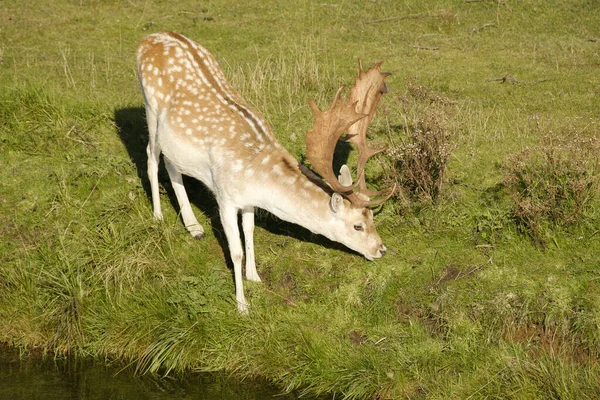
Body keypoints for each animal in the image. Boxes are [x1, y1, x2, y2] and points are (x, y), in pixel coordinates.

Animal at [136, 32, 394, 312]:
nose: (381, 249)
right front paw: (242, 305)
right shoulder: (225, 198)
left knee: (172, 164)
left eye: (372, 217)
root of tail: (149, 38)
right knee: (151, 156)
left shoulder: (247, 201)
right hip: (150, 109)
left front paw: (255, 276)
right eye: (358, 226)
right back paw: (158, 216)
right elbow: (235, 250)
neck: (257, 180)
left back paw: (194, 227)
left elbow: (249, 231)